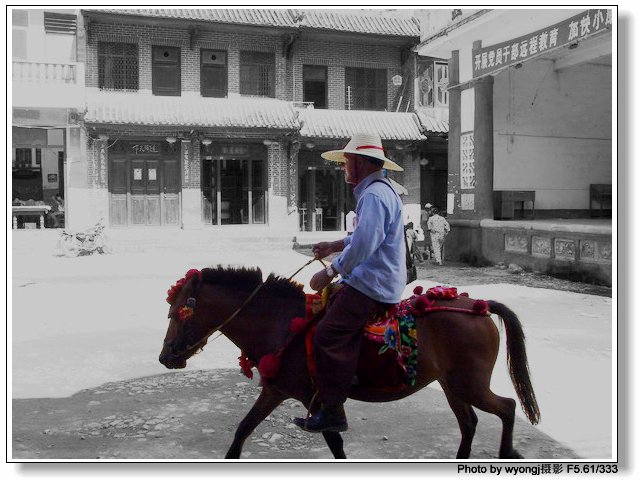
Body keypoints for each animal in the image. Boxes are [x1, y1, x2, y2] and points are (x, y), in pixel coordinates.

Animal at [158, 266, 536, 458]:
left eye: (178, 312)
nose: (165, 357)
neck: (283, 324)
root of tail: (479, 306)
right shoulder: (277, 391)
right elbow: (242, 431)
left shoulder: (317, 401)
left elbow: (334, 442)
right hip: (451, 385)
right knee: (469, 423)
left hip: (469, 384)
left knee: (507, 407)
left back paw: (507, 453)